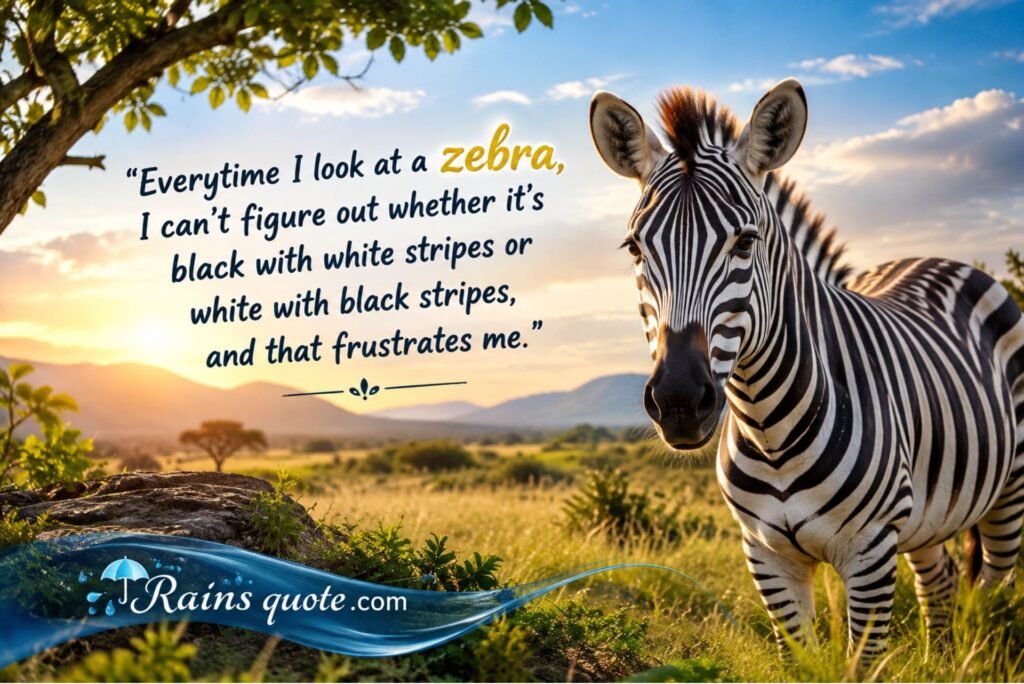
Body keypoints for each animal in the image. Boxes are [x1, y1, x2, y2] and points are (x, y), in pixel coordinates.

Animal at [589, 78, 1024, 663]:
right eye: (635, 247)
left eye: (745, 241)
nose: (679, 401)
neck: (768, 427)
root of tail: (939, 260)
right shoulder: (766, 555)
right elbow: (799, 659)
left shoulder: (869, 552)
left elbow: (862, 664)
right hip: (927, 516)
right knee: (941, 580)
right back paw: (941, 662)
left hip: (1008, 494)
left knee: (991, 595)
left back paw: (981, 657)